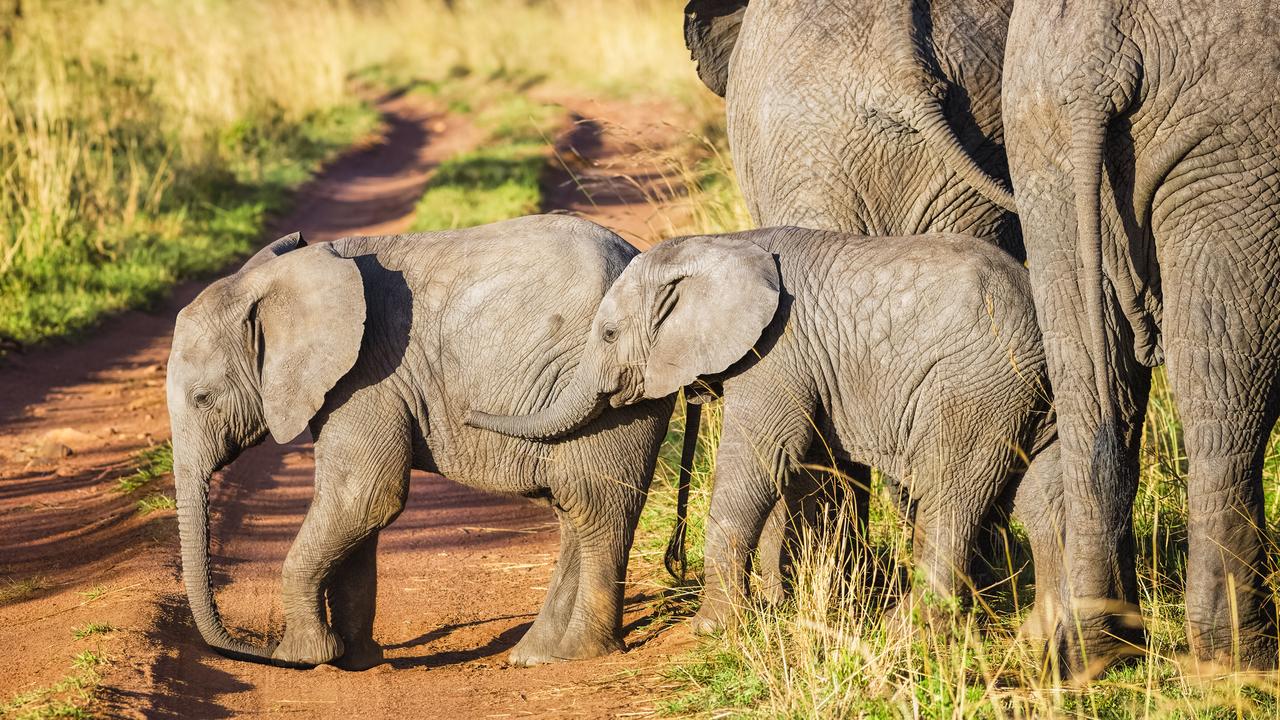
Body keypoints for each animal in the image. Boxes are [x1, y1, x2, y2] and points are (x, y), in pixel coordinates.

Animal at [163, 212, 670, 666]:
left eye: (203, 399)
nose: (254, 650)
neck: (280, 279)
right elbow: (358, 511)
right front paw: (355, 661)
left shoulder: (367, 375)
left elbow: (364, 497)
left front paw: (302, 657)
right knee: (577, 513)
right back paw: (537, 655)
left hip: (610, 388)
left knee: (594, 509)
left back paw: (578, 654)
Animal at [476, 226, 1064, 630]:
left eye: (608, 334)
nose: (468, 416)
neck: (725, 245)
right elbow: (801, 469)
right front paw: (779, 603)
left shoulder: (776, 353)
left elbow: (760, 463)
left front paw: (713, 628)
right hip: (1030, 397)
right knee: (1045, 498)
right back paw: (1046, 640)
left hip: (977, 384)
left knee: (950, 495)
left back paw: (907, 632)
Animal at [1008, 0, 1280, 671]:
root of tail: (1098, 61)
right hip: (1236, 152)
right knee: (1225, 399)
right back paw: (1241, 664)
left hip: (1040, 145)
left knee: (1091, 386)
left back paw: (1098, 650)